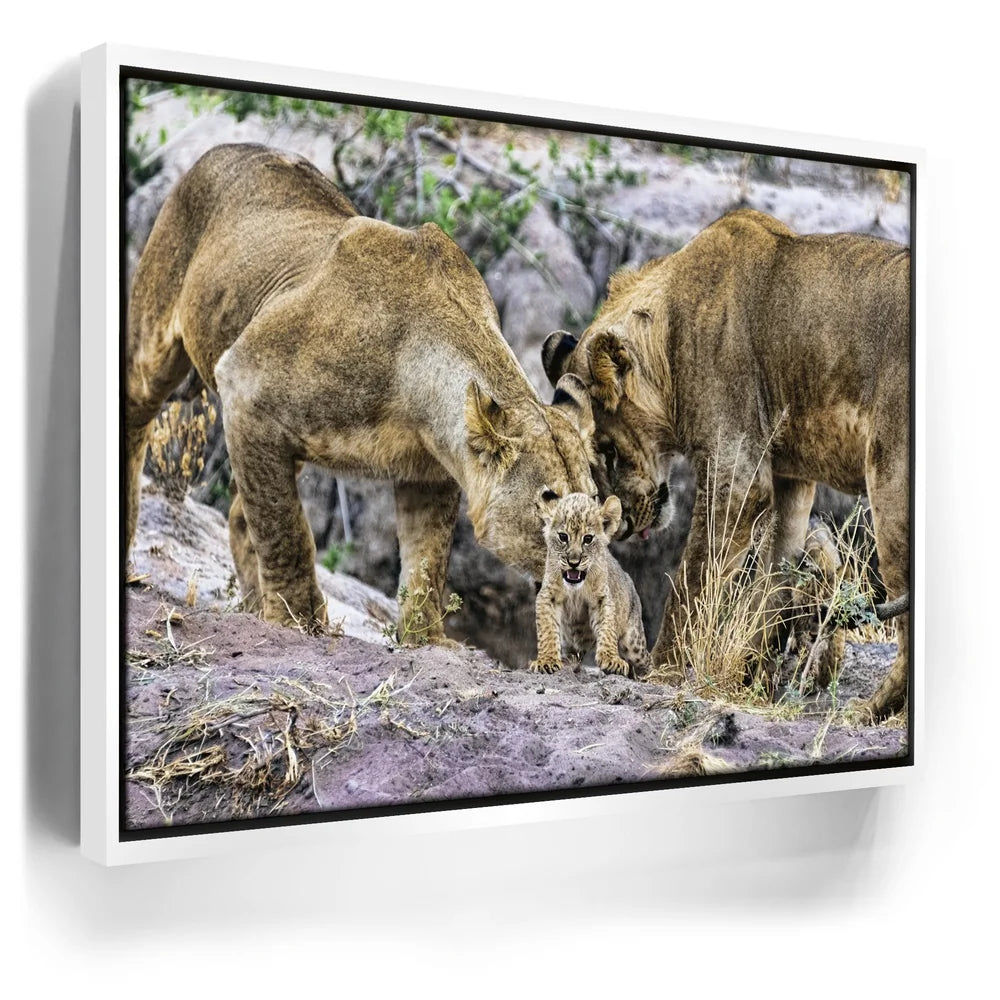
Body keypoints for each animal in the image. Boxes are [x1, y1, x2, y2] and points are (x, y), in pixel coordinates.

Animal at [126, 143, 597, 641]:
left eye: (597, 511)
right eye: (552, 509)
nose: (585, 568)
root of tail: (226, 148)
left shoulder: (430, 472)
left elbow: (427, 562)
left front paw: (426, 640)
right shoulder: (244, 384)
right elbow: (285, 530)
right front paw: (298, 621)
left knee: (239, 514)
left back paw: (252, 606)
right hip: (158, 342)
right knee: (137, 418)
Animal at [530, 492, 650, 678]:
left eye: (588, 539)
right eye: (563, 537)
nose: (573, 563)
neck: (575, 589)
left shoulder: (602, 598)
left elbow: (607, 628)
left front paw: (611, 660)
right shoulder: (548, 595)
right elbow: (547, 630)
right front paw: (547, 661)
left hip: (634, 641)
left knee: (646, 660)